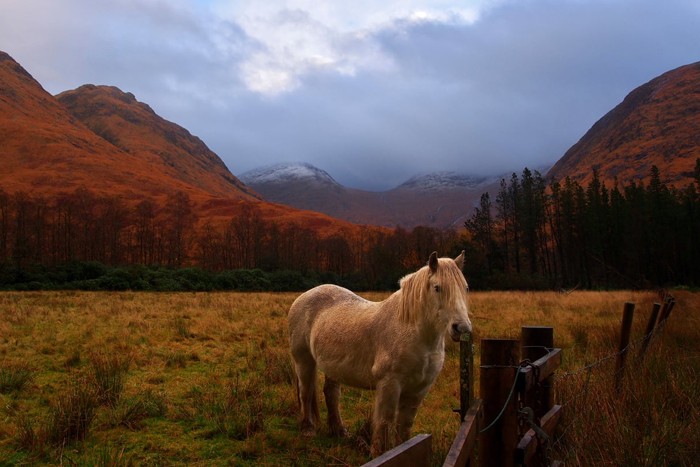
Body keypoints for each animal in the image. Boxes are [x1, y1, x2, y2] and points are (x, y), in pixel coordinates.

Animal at [288, 252, 474, 458]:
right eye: (437, 288)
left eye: (465, 287)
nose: (462, 328)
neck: (411, 332)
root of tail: (305, 295)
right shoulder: (389, 385)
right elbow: (384, 421)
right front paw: (379, 454)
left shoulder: (419, 389)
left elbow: (404, 425)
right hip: (303, 361)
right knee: (305, 392)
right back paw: (308, 429)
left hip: (333, 367)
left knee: (331, 394)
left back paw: (340, 431)